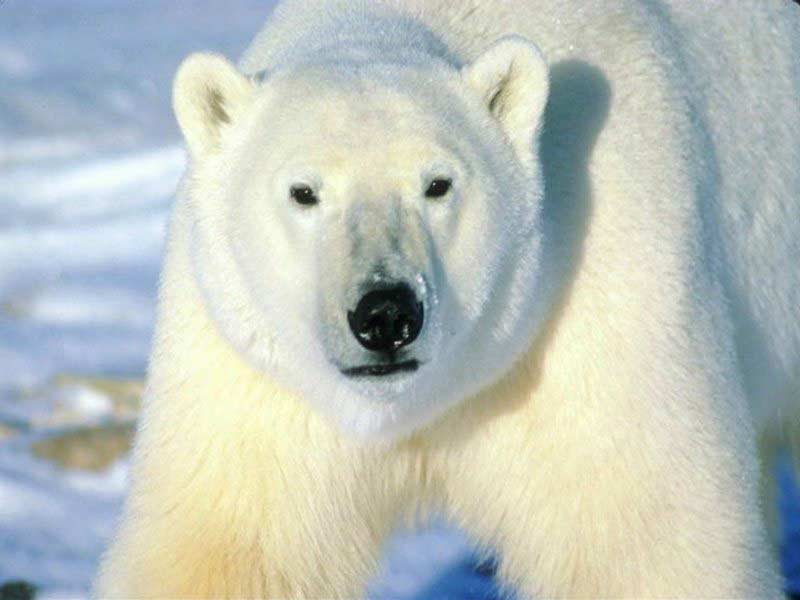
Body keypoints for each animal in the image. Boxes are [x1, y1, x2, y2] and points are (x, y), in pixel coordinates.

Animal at [95, 0, 800, 597]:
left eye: (438, 184)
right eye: (303, 192)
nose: (385, 315)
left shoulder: (601, 300)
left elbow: (644, 543)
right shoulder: (252, 375)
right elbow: (231, 547)